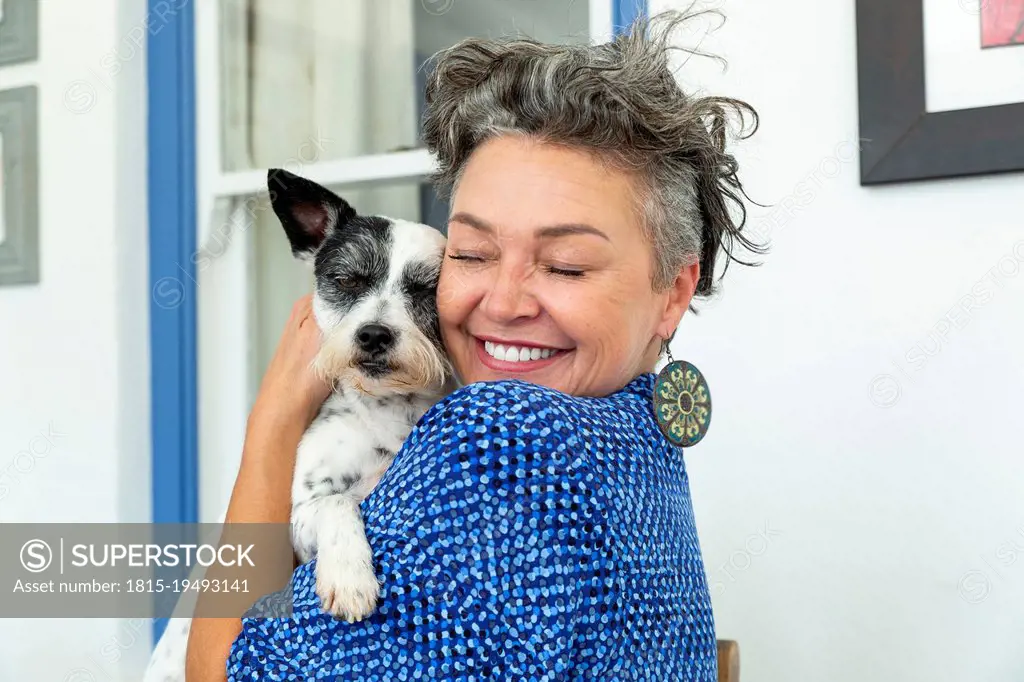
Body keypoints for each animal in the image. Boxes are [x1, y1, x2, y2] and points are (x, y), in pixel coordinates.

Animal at [142, 169, 454, 679]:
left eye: (426, 290)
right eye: (345, 279)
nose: (373, 335)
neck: (385, 409)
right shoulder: (297, 517)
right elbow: (337, 502)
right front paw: (349, 574)